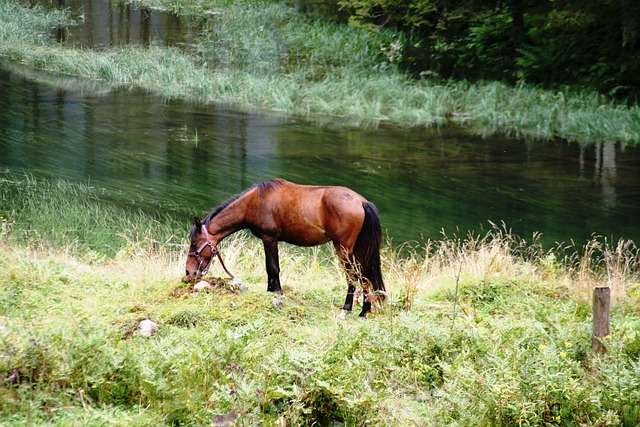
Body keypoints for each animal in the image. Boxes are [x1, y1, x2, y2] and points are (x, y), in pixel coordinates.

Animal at [185, 178, 384, 318]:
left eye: (194, 243)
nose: (189, 272)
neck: (253, 202)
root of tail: (362, 202)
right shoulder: (269, 241)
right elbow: (270, 268)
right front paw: (270, 290)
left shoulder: (269, 239)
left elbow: (273, 267)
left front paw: (277, 292)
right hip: (358, 250)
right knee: (365, 276)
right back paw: (364, 311)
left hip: (343, 249)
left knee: (353, 276)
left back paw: (346, 309)